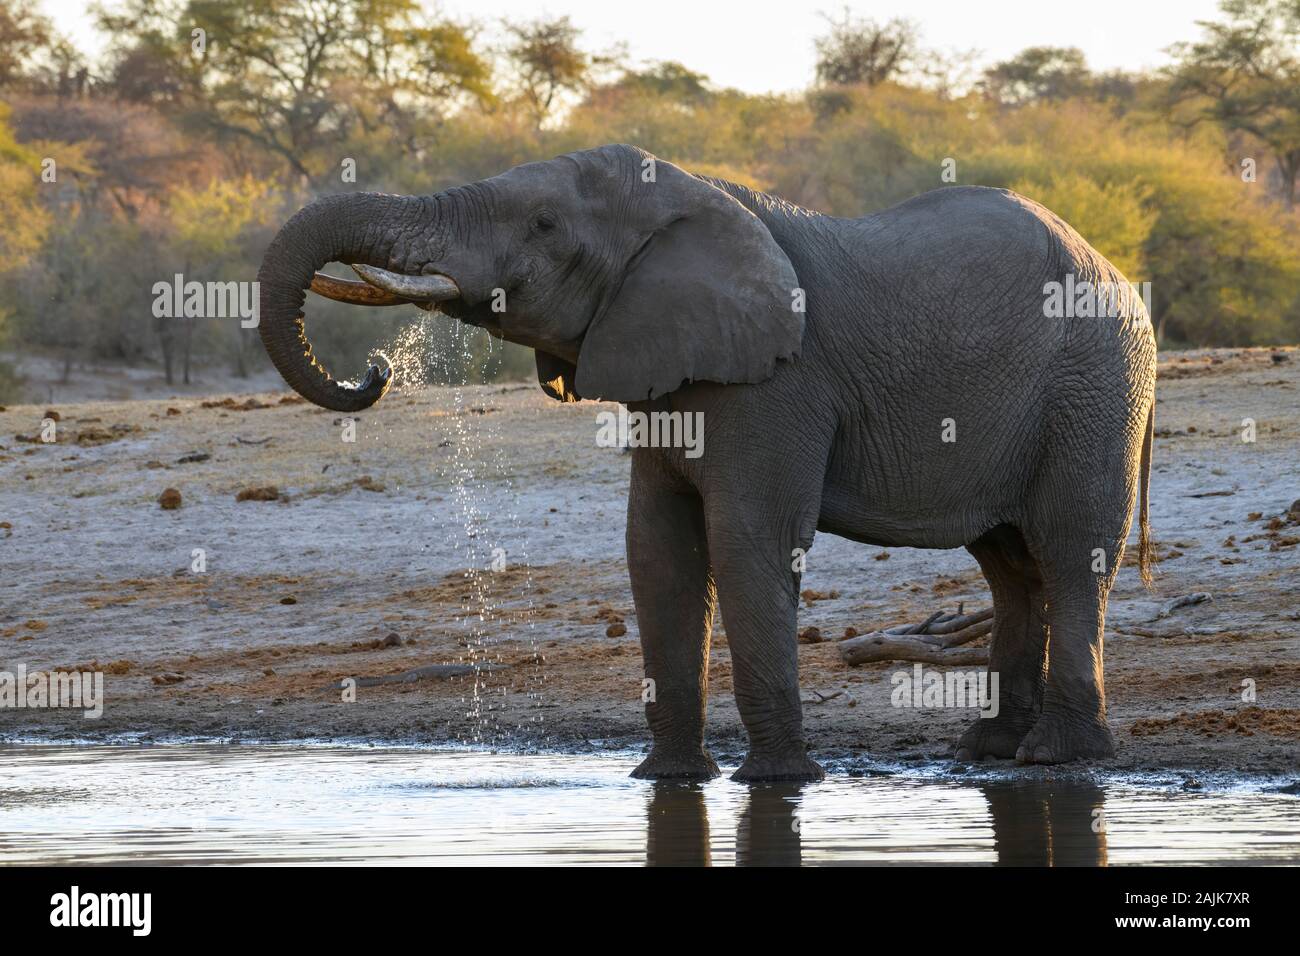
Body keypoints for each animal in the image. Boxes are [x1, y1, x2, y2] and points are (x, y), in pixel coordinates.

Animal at [256, 143, 1159, 785]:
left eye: (544, 225)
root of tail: (1117, 273)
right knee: (1011, 565)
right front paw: (667, 779)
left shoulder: (778, 383)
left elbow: (746, 540)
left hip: (1095, 387)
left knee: (1070, 552)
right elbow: (657, 549)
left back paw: (1057, 756)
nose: (375, 369)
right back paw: (990, 749)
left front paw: (778, 783)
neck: (687, 198)